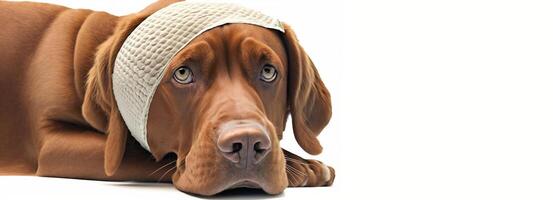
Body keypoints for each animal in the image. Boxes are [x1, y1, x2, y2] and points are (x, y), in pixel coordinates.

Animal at [0, 0, 332, 195]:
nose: (248, 145)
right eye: (183, 74)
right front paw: (301, 166)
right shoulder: (55, 144)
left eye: (268, 72)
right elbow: (140, 153)